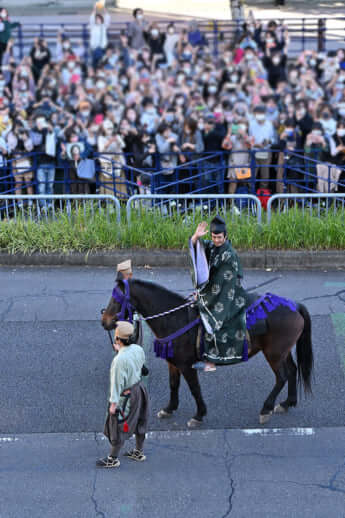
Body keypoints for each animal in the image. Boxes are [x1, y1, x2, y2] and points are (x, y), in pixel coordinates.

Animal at [101, 282, 314, 428]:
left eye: (117, 300)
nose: (104, 321)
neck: (175, 319)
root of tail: (295, 305)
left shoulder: (186, 365)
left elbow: (195, 388)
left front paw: (199, 415)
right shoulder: (173, 363)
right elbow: (173, 385)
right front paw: (169, 408)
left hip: (274, 353)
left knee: (282, 377)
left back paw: (266, 408)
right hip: (282, 351)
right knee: (292, 370)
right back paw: (287, 403)